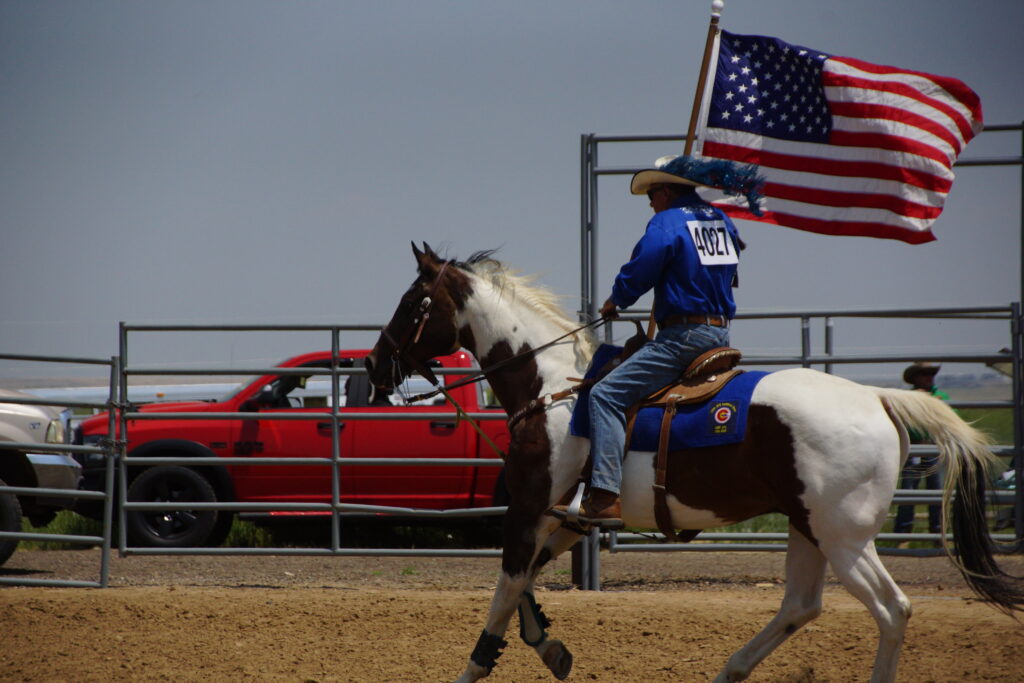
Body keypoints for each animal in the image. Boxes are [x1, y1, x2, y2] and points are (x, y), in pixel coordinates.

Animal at [364, 242, 1019, 679]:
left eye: (413, 300)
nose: (373, 364)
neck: (552, 386)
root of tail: (877, 398)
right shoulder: (563, 519)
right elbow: (524, 585)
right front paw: (550, 647)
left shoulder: (528, 509)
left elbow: (504, 591)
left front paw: (476, 667)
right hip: (808, 528)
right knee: (802, 605)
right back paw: (731, 669)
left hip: (844, 537)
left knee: (891, 610)